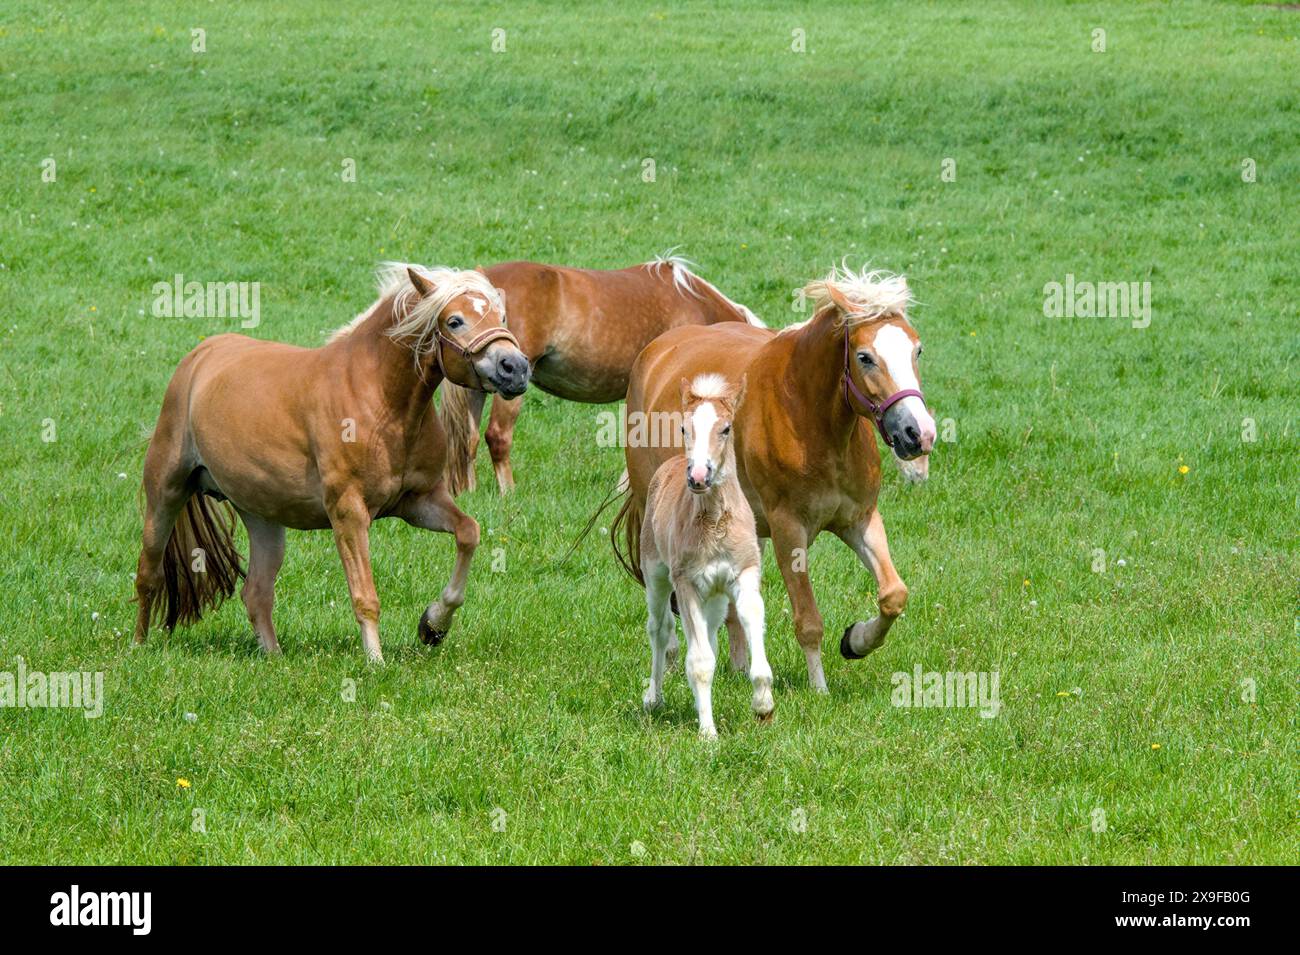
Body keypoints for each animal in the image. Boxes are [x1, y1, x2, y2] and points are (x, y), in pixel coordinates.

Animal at [134, 263, 530, 665]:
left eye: (500, 316)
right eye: (454, 321)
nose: (515, 368)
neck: (381, 401)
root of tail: (199, 357)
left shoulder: (419, 503)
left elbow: (468, 532)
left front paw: (433, 625)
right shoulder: (348, 512)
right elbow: (365, 595)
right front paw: (376, 662)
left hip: (262, 517)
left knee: (256, 592)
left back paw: (274, 658)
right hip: (166, 493)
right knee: (148, 574)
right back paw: (138, 648)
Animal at [611, 265, 935, 691]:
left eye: (917, 350)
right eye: (865, 357)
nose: (919, 433)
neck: (811, 416)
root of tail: (656, 352)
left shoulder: (860, 519)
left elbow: (893, 594)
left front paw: (856, 641)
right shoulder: (788, 530)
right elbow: (808, 620)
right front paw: (819, 689)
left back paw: (736, 666)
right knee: (662, 601)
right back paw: (670, 659)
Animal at [639, 374, 769, 738]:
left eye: (726, 428)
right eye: (684, 428)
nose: (698, 475)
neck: (714, 521)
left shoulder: (744, 574)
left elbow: (750, 625)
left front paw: (763, 706)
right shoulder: (685, 584)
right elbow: (699, 662)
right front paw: (708, 733)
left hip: (715, 596)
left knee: (710, 633)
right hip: (655, 573)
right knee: (660, 629)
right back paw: (654, 698)